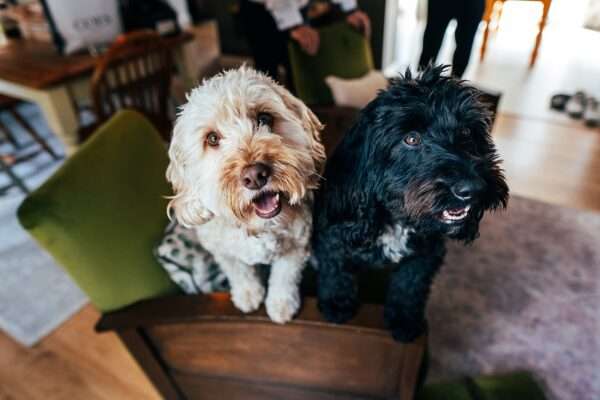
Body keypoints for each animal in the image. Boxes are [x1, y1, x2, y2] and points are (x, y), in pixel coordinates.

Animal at [312, 65, 508, 340]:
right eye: (411, 138)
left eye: (467, 132)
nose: (474, 188)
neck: (399, 219)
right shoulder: (333, 239)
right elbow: (336, 272)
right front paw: (337, 305)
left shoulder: (424, 256)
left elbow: (409, 288)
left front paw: (404, 320)